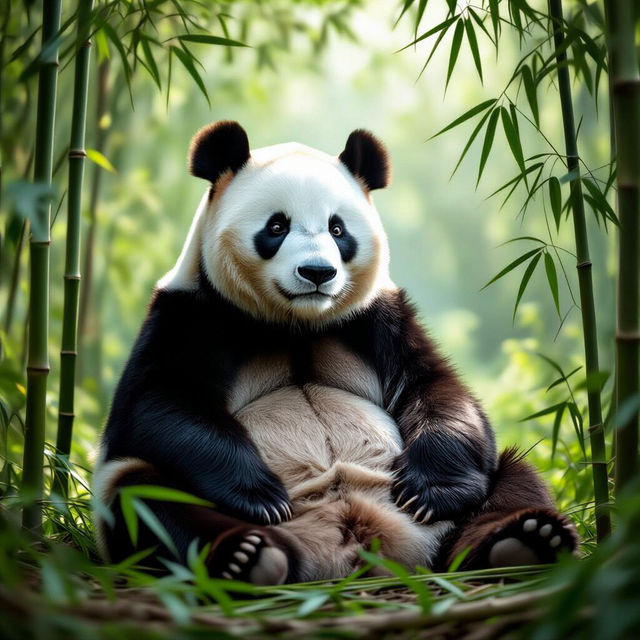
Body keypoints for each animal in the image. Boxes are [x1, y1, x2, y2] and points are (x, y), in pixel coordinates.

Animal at [93, 121, 578, 584]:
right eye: (276, 226)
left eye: (337, 229)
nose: (317, 272)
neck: (296, 323)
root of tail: (357, 549)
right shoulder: (188, 314)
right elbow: (158, 404)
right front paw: (261, 495)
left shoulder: (380, 319)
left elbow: (437, 389)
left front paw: (428, 491)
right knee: (145, 495)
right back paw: (248, 558)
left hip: (458, 514)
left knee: (513, 478)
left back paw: (524, 541)